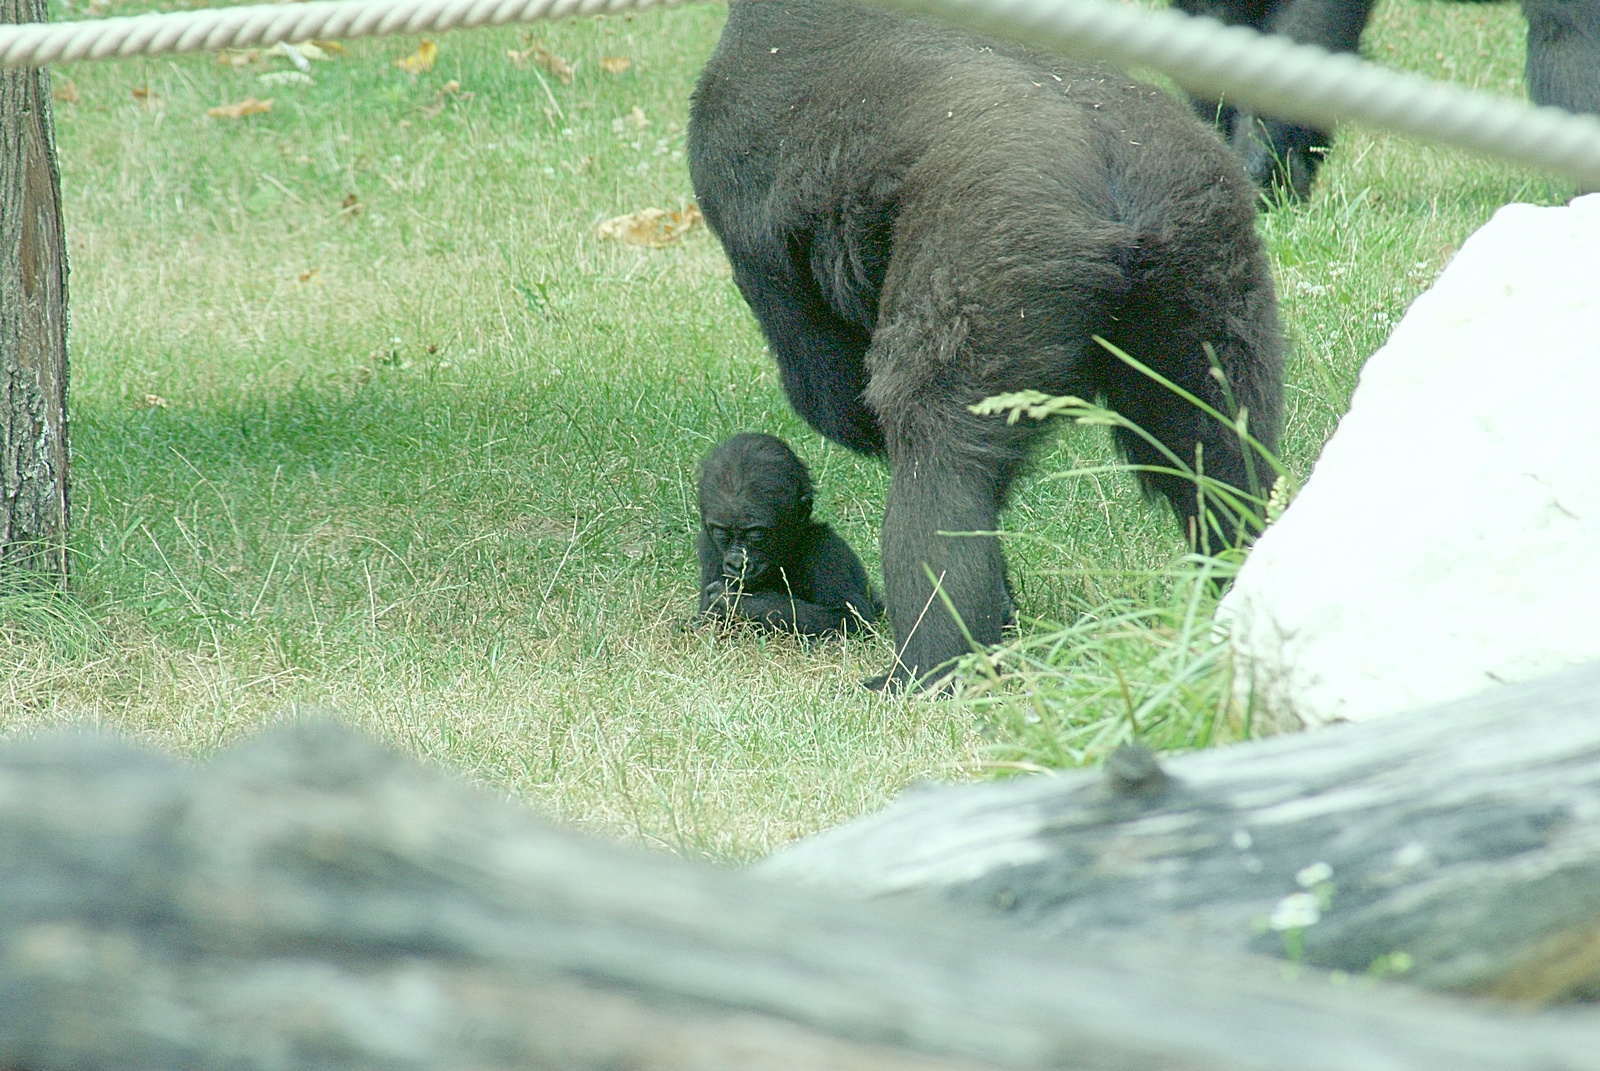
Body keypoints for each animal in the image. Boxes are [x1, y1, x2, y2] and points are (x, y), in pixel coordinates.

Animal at [694, 432, 883, 640]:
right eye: (721, 533)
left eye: (756, 534)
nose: (737, 564)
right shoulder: (708, 546)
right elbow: (705, 624)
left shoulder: (828, 550)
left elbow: (849, 619)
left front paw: (737, 601)